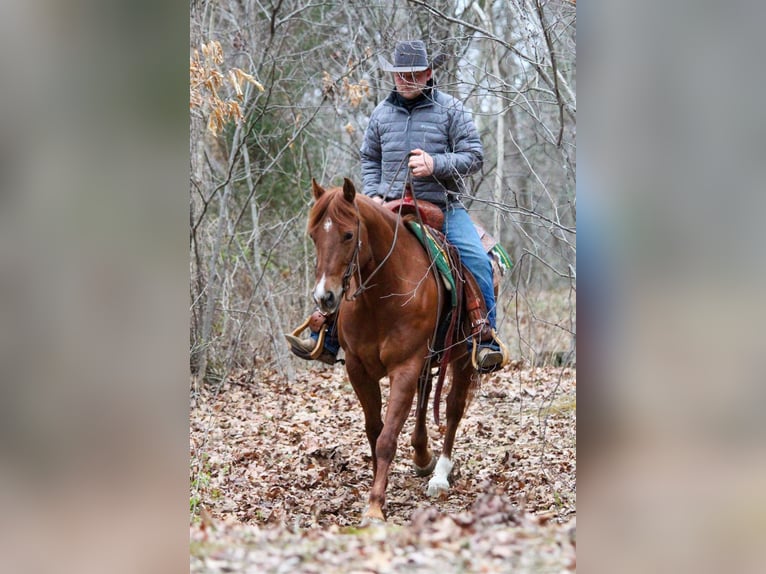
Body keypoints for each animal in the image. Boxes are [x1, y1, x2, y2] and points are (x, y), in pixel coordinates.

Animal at [304, 178, 480, 524]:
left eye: (348, 234)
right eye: (314, 235)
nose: (324, 297)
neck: (382, 296)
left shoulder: (405, 367)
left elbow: (386, 438)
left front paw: (374, 506)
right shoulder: (358, 368)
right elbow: (375, 431)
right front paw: (377, 486)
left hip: (462, 356)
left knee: (453, 408)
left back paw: (440, 475)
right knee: (426, 396)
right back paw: (422, 455)